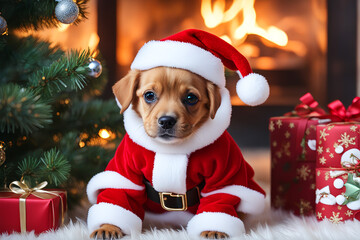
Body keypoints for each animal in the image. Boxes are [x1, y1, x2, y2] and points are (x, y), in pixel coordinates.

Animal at [90, 65, 225, 238]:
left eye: (191, 98)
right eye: (149, 95)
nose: (167, 121)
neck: (170, 149)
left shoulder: (222, 175)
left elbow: (218, 201)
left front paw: (215, 229)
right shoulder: (125, 171)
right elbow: (119, 197)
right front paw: (108, 227)